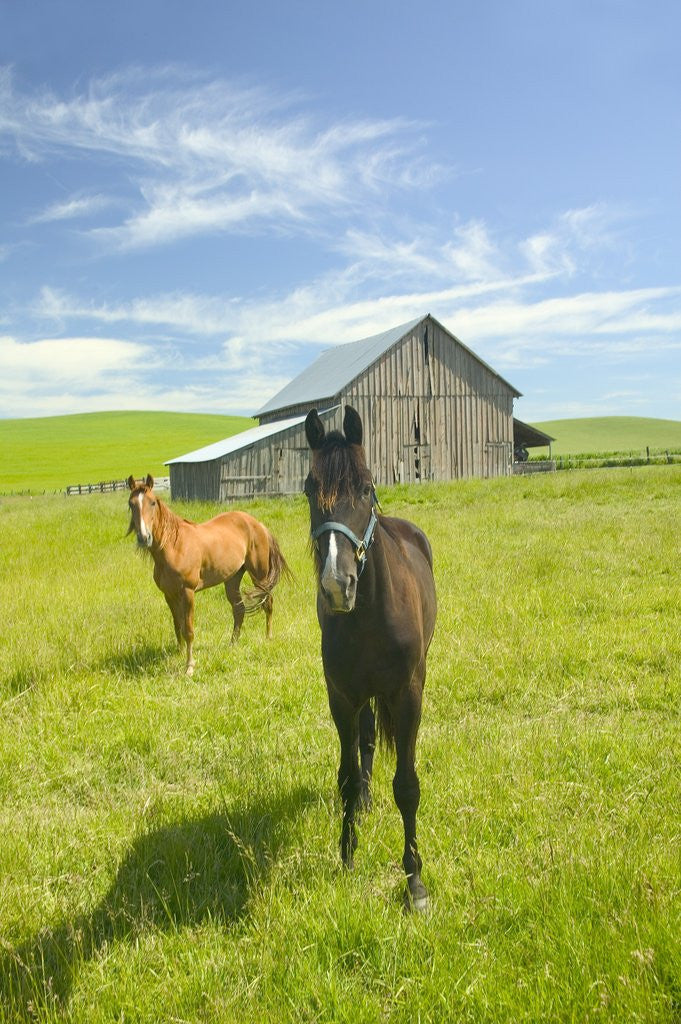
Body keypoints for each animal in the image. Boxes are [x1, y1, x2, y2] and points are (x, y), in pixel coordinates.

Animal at [127, 475, 291, 675]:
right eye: (131, 504)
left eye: (152, 503)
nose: (144, 538)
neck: (174, 546)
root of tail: (258, 524)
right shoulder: (169, 595)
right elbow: (177, 625)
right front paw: (180, 653)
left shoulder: (188, 592)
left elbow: (188, 630)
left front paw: (189, 666)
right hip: (232, 579)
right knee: (239, 610)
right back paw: (232, 644)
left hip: (259, 575)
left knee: (268, 603)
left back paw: (268, 637)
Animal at [304, 406, 437, 912]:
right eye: (309, 489)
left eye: (364, 487)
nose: (336, 584)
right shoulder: (342, 697)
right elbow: (345, 773)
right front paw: (346, 854)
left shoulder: (408, 694)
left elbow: (407, 786)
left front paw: (415, 880)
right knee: (364, 741)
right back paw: (363, 801)